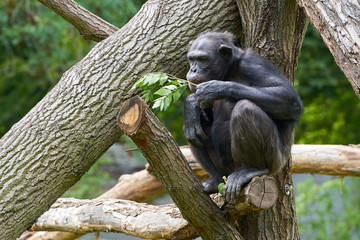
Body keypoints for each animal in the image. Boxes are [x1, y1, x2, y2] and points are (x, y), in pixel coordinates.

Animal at [184, 31, 302, 202]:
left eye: (202, 60)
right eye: (192, 59)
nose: (193, 69)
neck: (229, 70)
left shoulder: (253, 64)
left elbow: (288, 96)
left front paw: (215, 88)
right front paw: (191, 104)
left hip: (274, 161)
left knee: (245, 108)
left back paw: (251, 169)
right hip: (226, 170)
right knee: (193, 129)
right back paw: (216, 178)